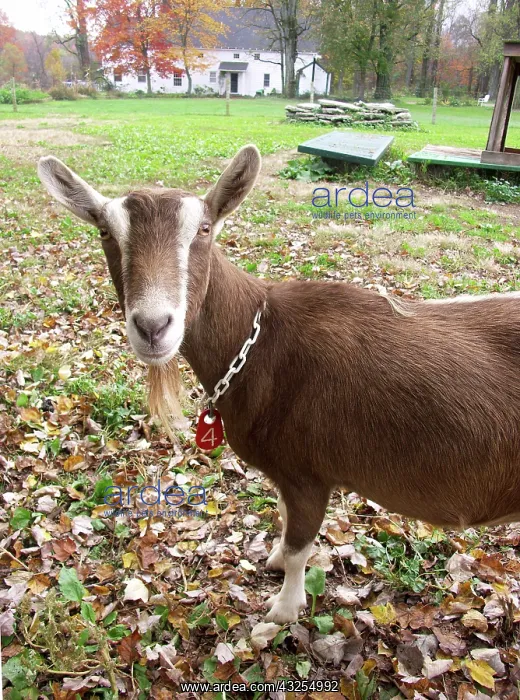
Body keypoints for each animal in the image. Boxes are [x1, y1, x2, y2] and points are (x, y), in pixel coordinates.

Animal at [39, 146, 520, 624]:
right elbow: (284, 522)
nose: (154, 327)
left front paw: (282, 611)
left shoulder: (309, 473)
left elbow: (297, 547)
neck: (262, 342)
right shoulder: (286, 474)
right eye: (105, 231)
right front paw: (271, 562)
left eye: (205, 229)